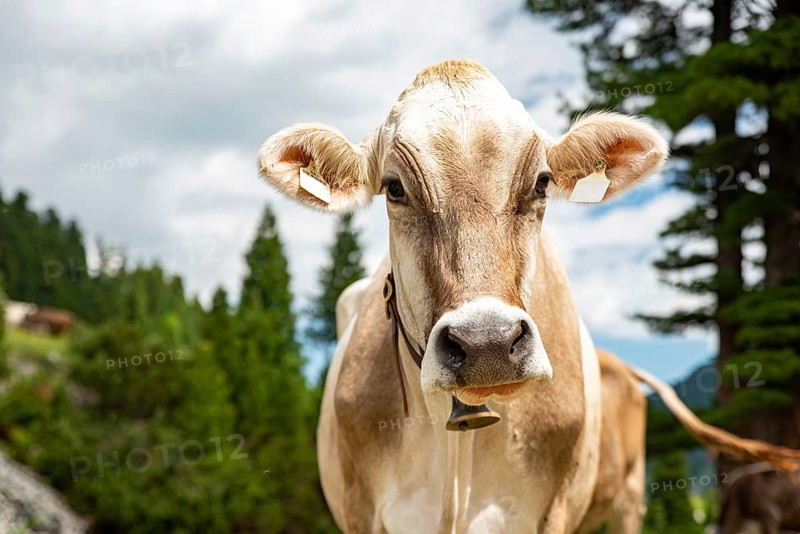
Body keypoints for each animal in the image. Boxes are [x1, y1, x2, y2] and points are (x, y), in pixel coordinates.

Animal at [258, 60, 800, 533]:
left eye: (542, 183)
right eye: (394, 188)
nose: (487, 344)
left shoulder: (549, 511)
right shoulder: (360, 509)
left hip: (627, 500)